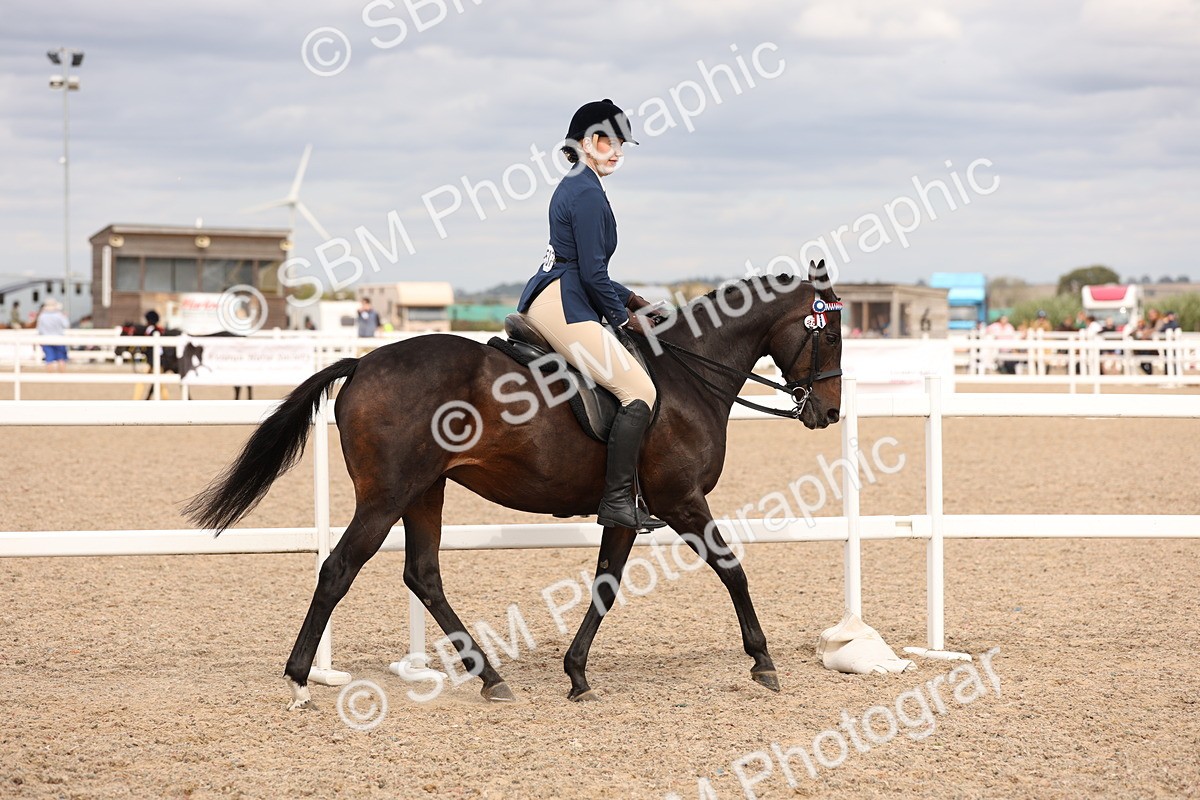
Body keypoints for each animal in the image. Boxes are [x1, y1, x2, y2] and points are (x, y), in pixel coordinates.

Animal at [184, 261, 844, 710]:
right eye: (831, 334)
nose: (830, 412)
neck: (686, 377)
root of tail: (363, 363)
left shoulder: (627, 511)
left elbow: (606, 585)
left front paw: (576, 672)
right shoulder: (680, 501)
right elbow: (732, 569)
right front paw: (762, 660)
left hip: (424, 492)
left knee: (423, 575)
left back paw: (490, 677)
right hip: (387, 495)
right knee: (339, 569)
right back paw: (300, 680)